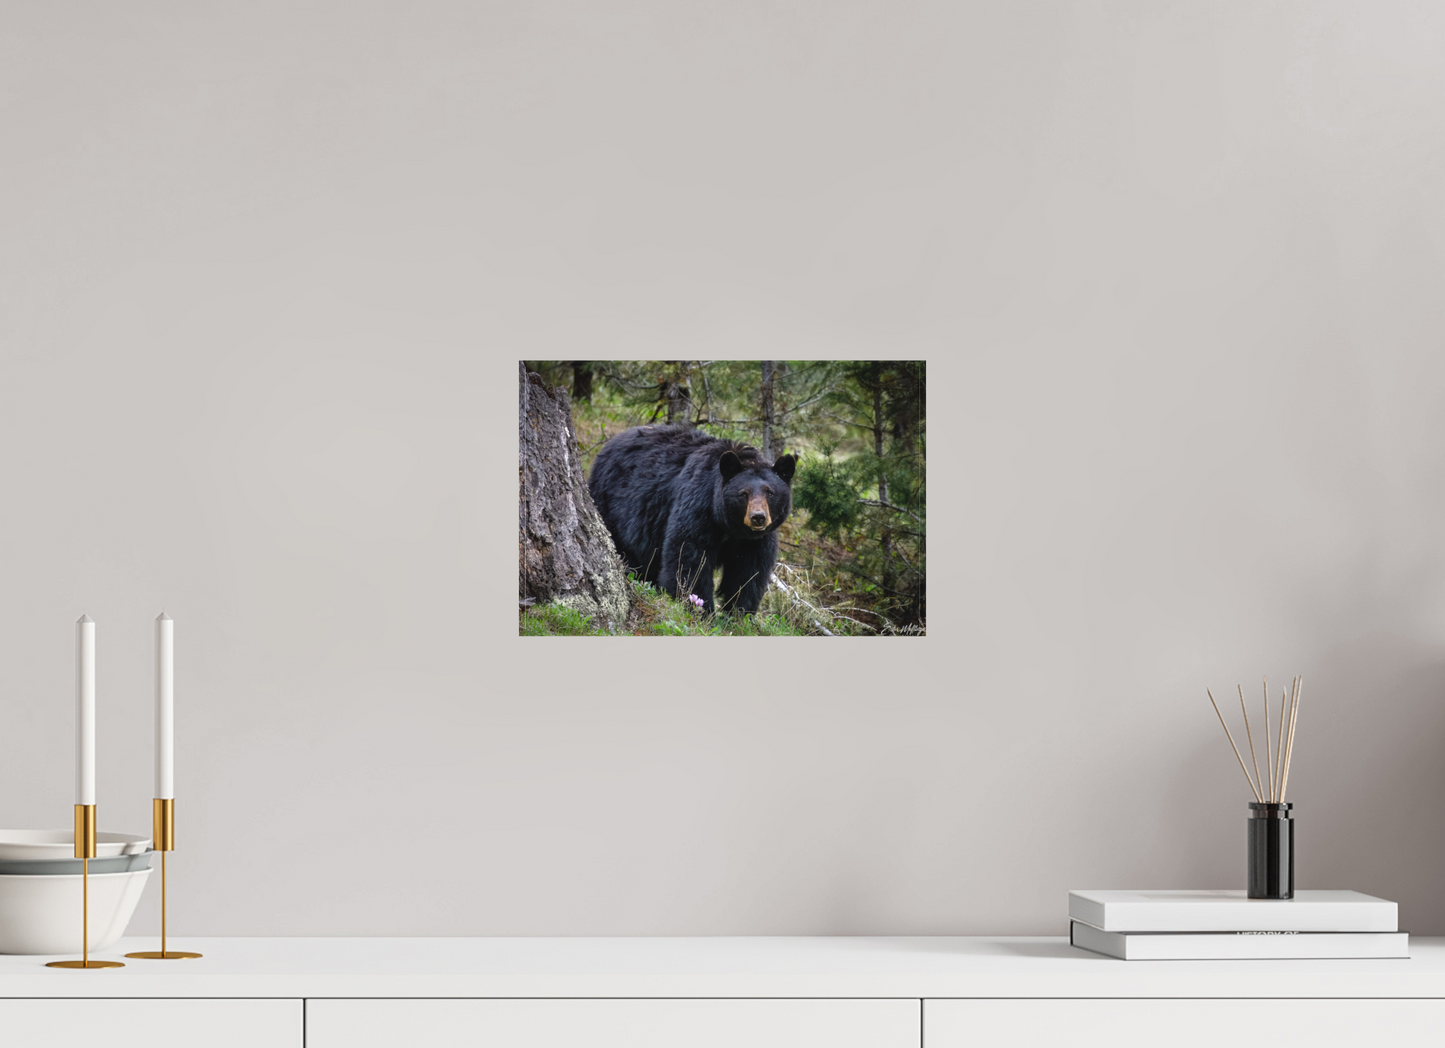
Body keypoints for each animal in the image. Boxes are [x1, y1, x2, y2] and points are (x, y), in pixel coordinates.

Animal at [588, 425, 797, 615]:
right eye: (743, 494)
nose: (758, 517)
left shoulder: (754, 541)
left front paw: (739, 614)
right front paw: (701, 609)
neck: (730, 527)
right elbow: (689, 557)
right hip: (610, 503)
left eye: (770, 493)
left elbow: (748, 572)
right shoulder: (698, 506)